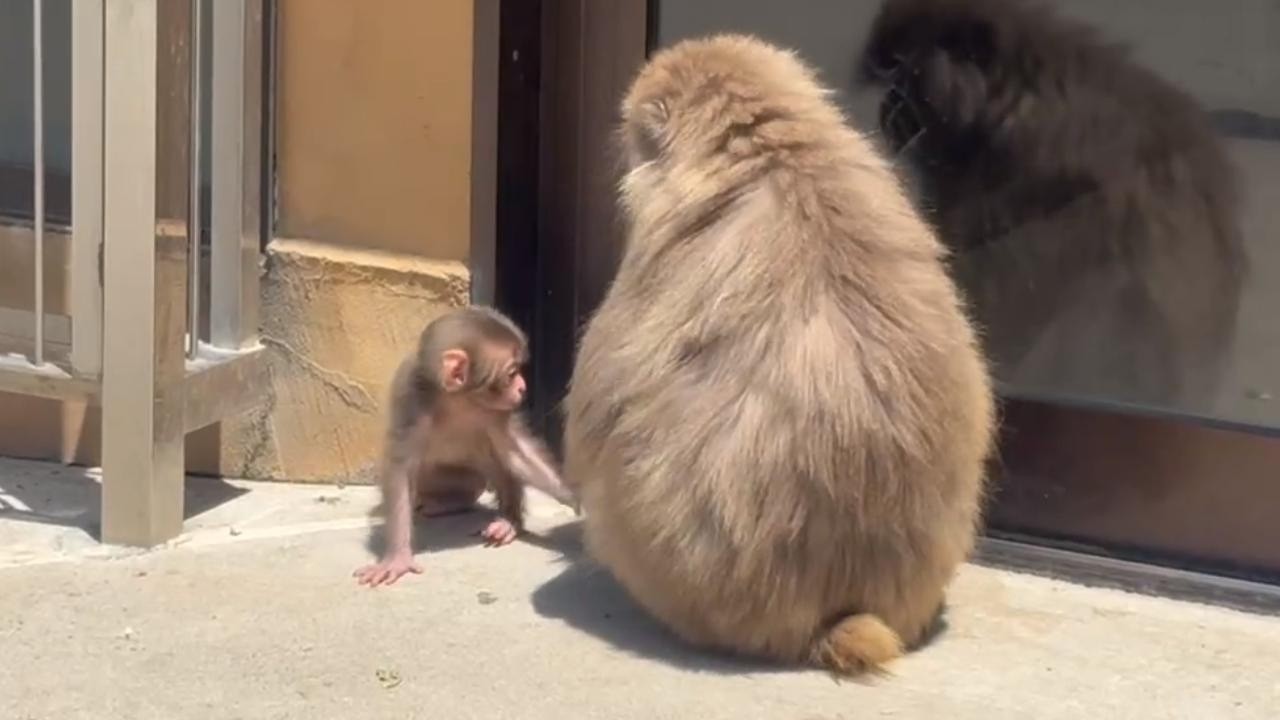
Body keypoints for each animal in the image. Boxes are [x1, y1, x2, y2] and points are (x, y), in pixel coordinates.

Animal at [354, 305, 577, 588]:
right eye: (511, 373)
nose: (522, 388)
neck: (458, 399)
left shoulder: (496, 409)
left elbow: (514, 452)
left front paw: (573, 495)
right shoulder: (413, 400)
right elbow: (400, 472)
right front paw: (398, 557)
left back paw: (502, 519)